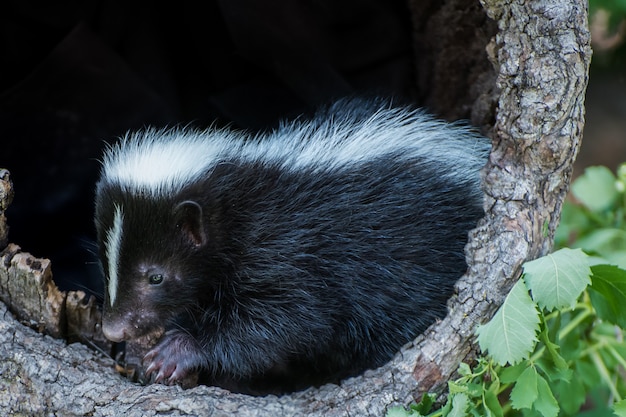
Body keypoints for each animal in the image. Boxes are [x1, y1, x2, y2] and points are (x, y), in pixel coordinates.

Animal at [92, 98, 488, 394]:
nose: (113, 329)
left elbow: (283, 322)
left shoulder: (288, 252)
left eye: (155, 277)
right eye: (106, 267)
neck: (238, 205)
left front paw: (177, 351)